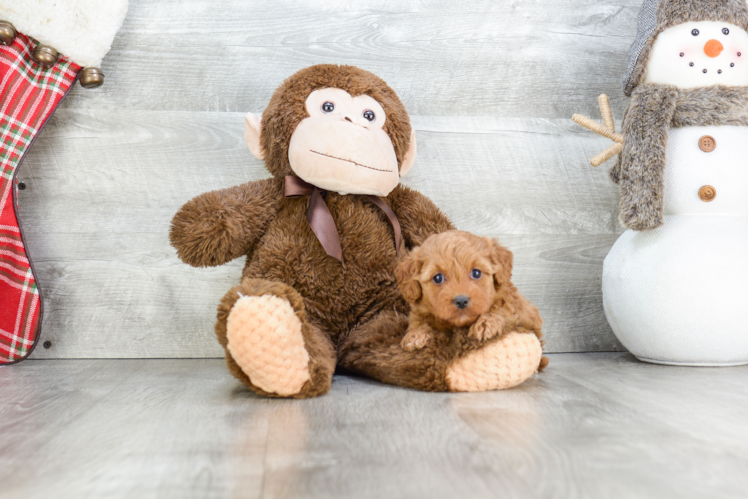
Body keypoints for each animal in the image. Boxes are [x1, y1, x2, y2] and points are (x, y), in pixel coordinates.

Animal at [394, 230, 548, 368]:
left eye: (476, 273)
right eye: (438, 278)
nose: (461, 300)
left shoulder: (518, 307)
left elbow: (502, 308)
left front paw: (486, 324)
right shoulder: (420, 311)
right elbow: (418, 321)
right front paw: (415, 335)